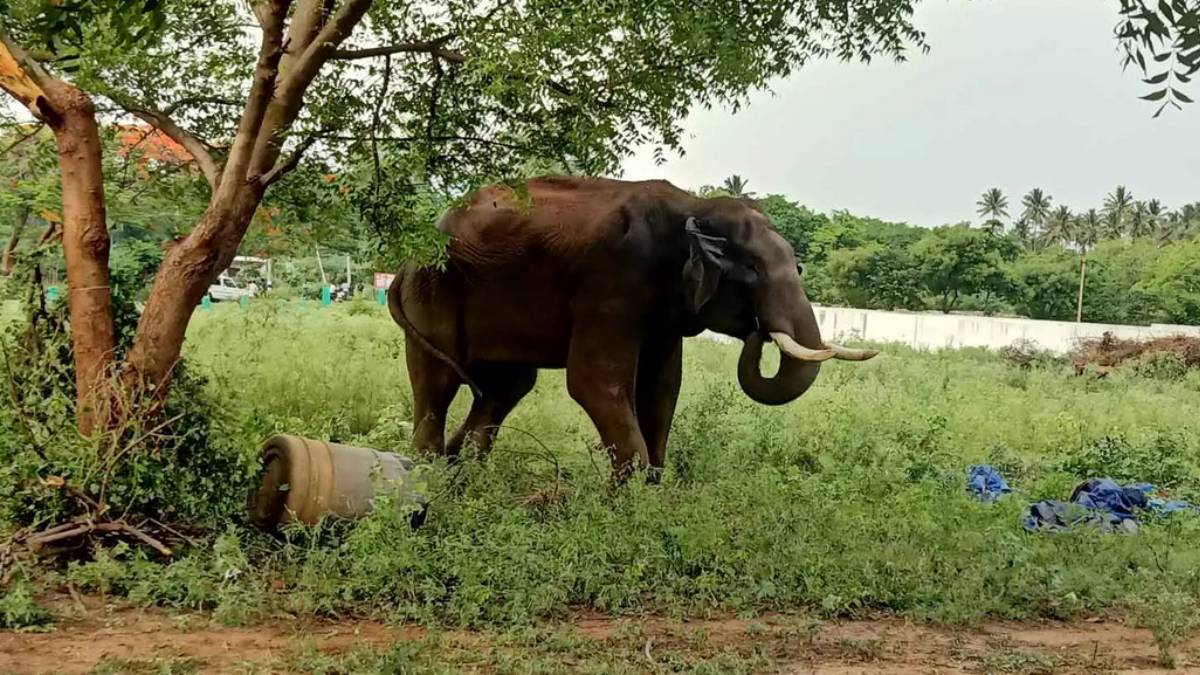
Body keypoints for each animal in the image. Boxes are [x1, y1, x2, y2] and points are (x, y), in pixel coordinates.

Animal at [387, 176, 877, 481]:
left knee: (506, 388)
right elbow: (594, 383)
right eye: (752, 270)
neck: (693, 208)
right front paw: (623, 505)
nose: (759, 330)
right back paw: (430, 479)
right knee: (440, 383)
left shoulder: (661, 313)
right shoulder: (612, 282)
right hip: (434, 292)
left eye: (798, 266)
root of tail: (403, 266)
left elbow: (663, 387)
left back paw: (460, 473)